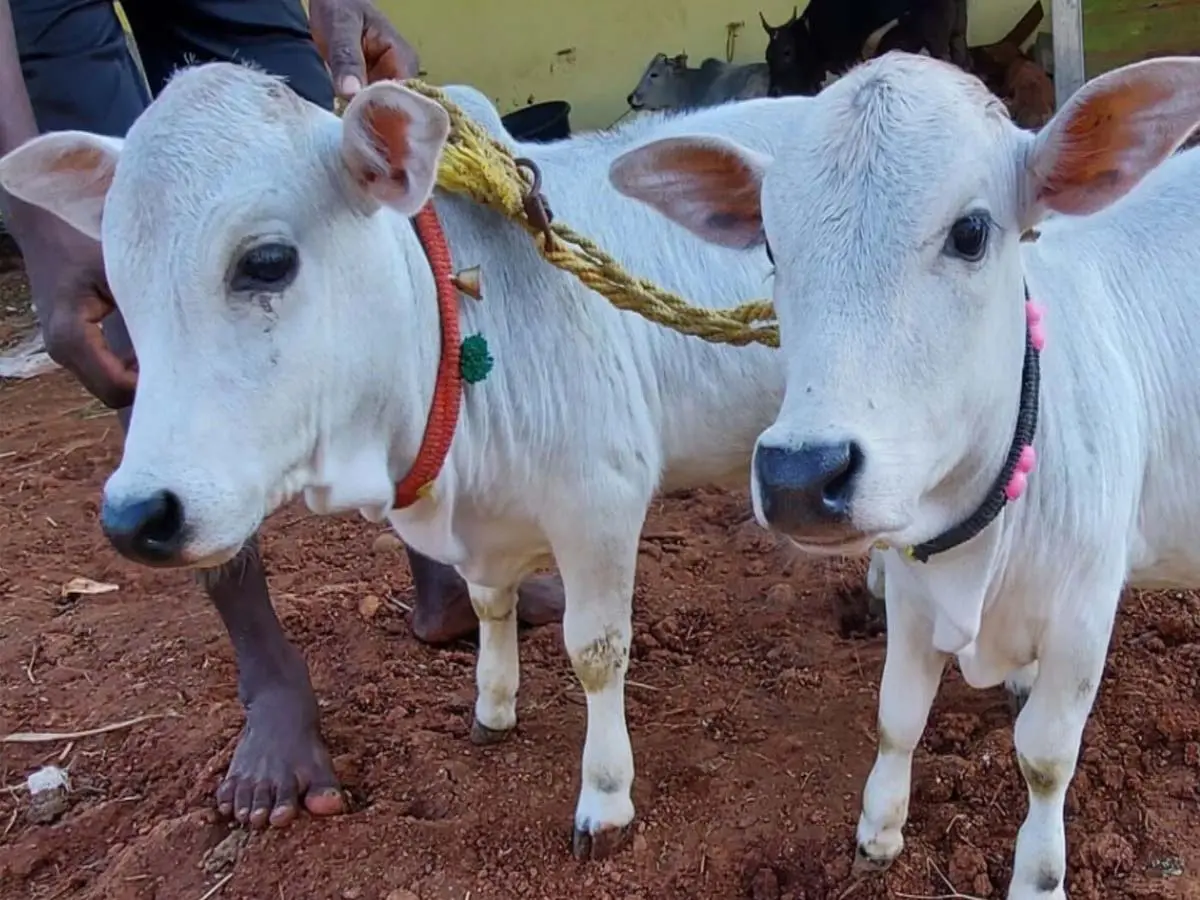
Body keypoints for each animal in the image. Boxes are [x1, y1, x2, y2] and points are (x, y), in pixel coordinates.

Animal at [762, 0, 968, 97]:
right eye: (767, 56)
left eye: (787, 51)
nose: (774, 92)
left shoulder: (846, 60)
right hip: (957, 35)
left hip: (937, 42)